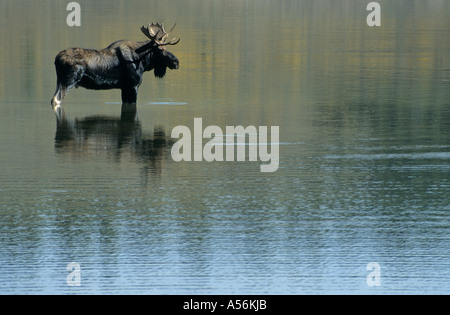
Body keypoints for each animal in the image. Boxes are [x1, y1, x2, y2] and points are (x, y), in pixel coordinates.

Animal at [51, 22, 179, 110]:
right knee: (56, 100)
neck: (142, 61)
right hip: (69, 81)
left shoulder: (124, 87)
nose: (176, 62)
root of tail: (56, 59)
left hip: (59, 81)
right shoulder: (133, 85)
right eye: (161, 49)